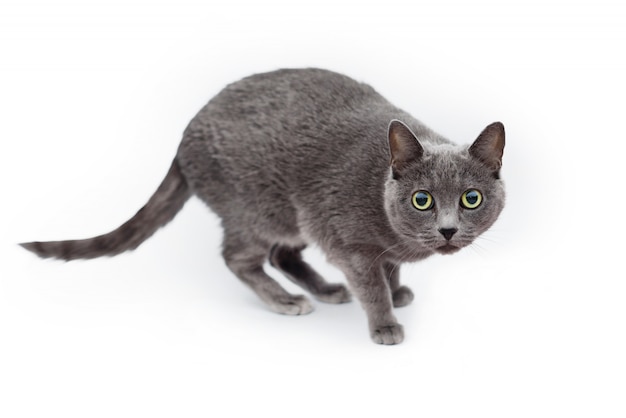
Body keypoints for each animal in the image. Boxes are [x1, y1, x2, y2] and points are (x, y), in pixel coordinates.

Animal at [22, 68, 504, 342]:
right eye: (422, 200)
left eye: (470, 199)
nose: (447, 229)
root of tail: (183, 136)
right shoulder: (347, 242)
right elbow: (371, 285)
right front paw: (384, 321)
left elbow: (390, 268)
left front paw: (397, 289)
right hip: (261, 209)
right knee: (239, 257)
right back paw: (287, 300)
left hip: (291, 216)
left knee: (282, 254)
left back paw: (325, 289)